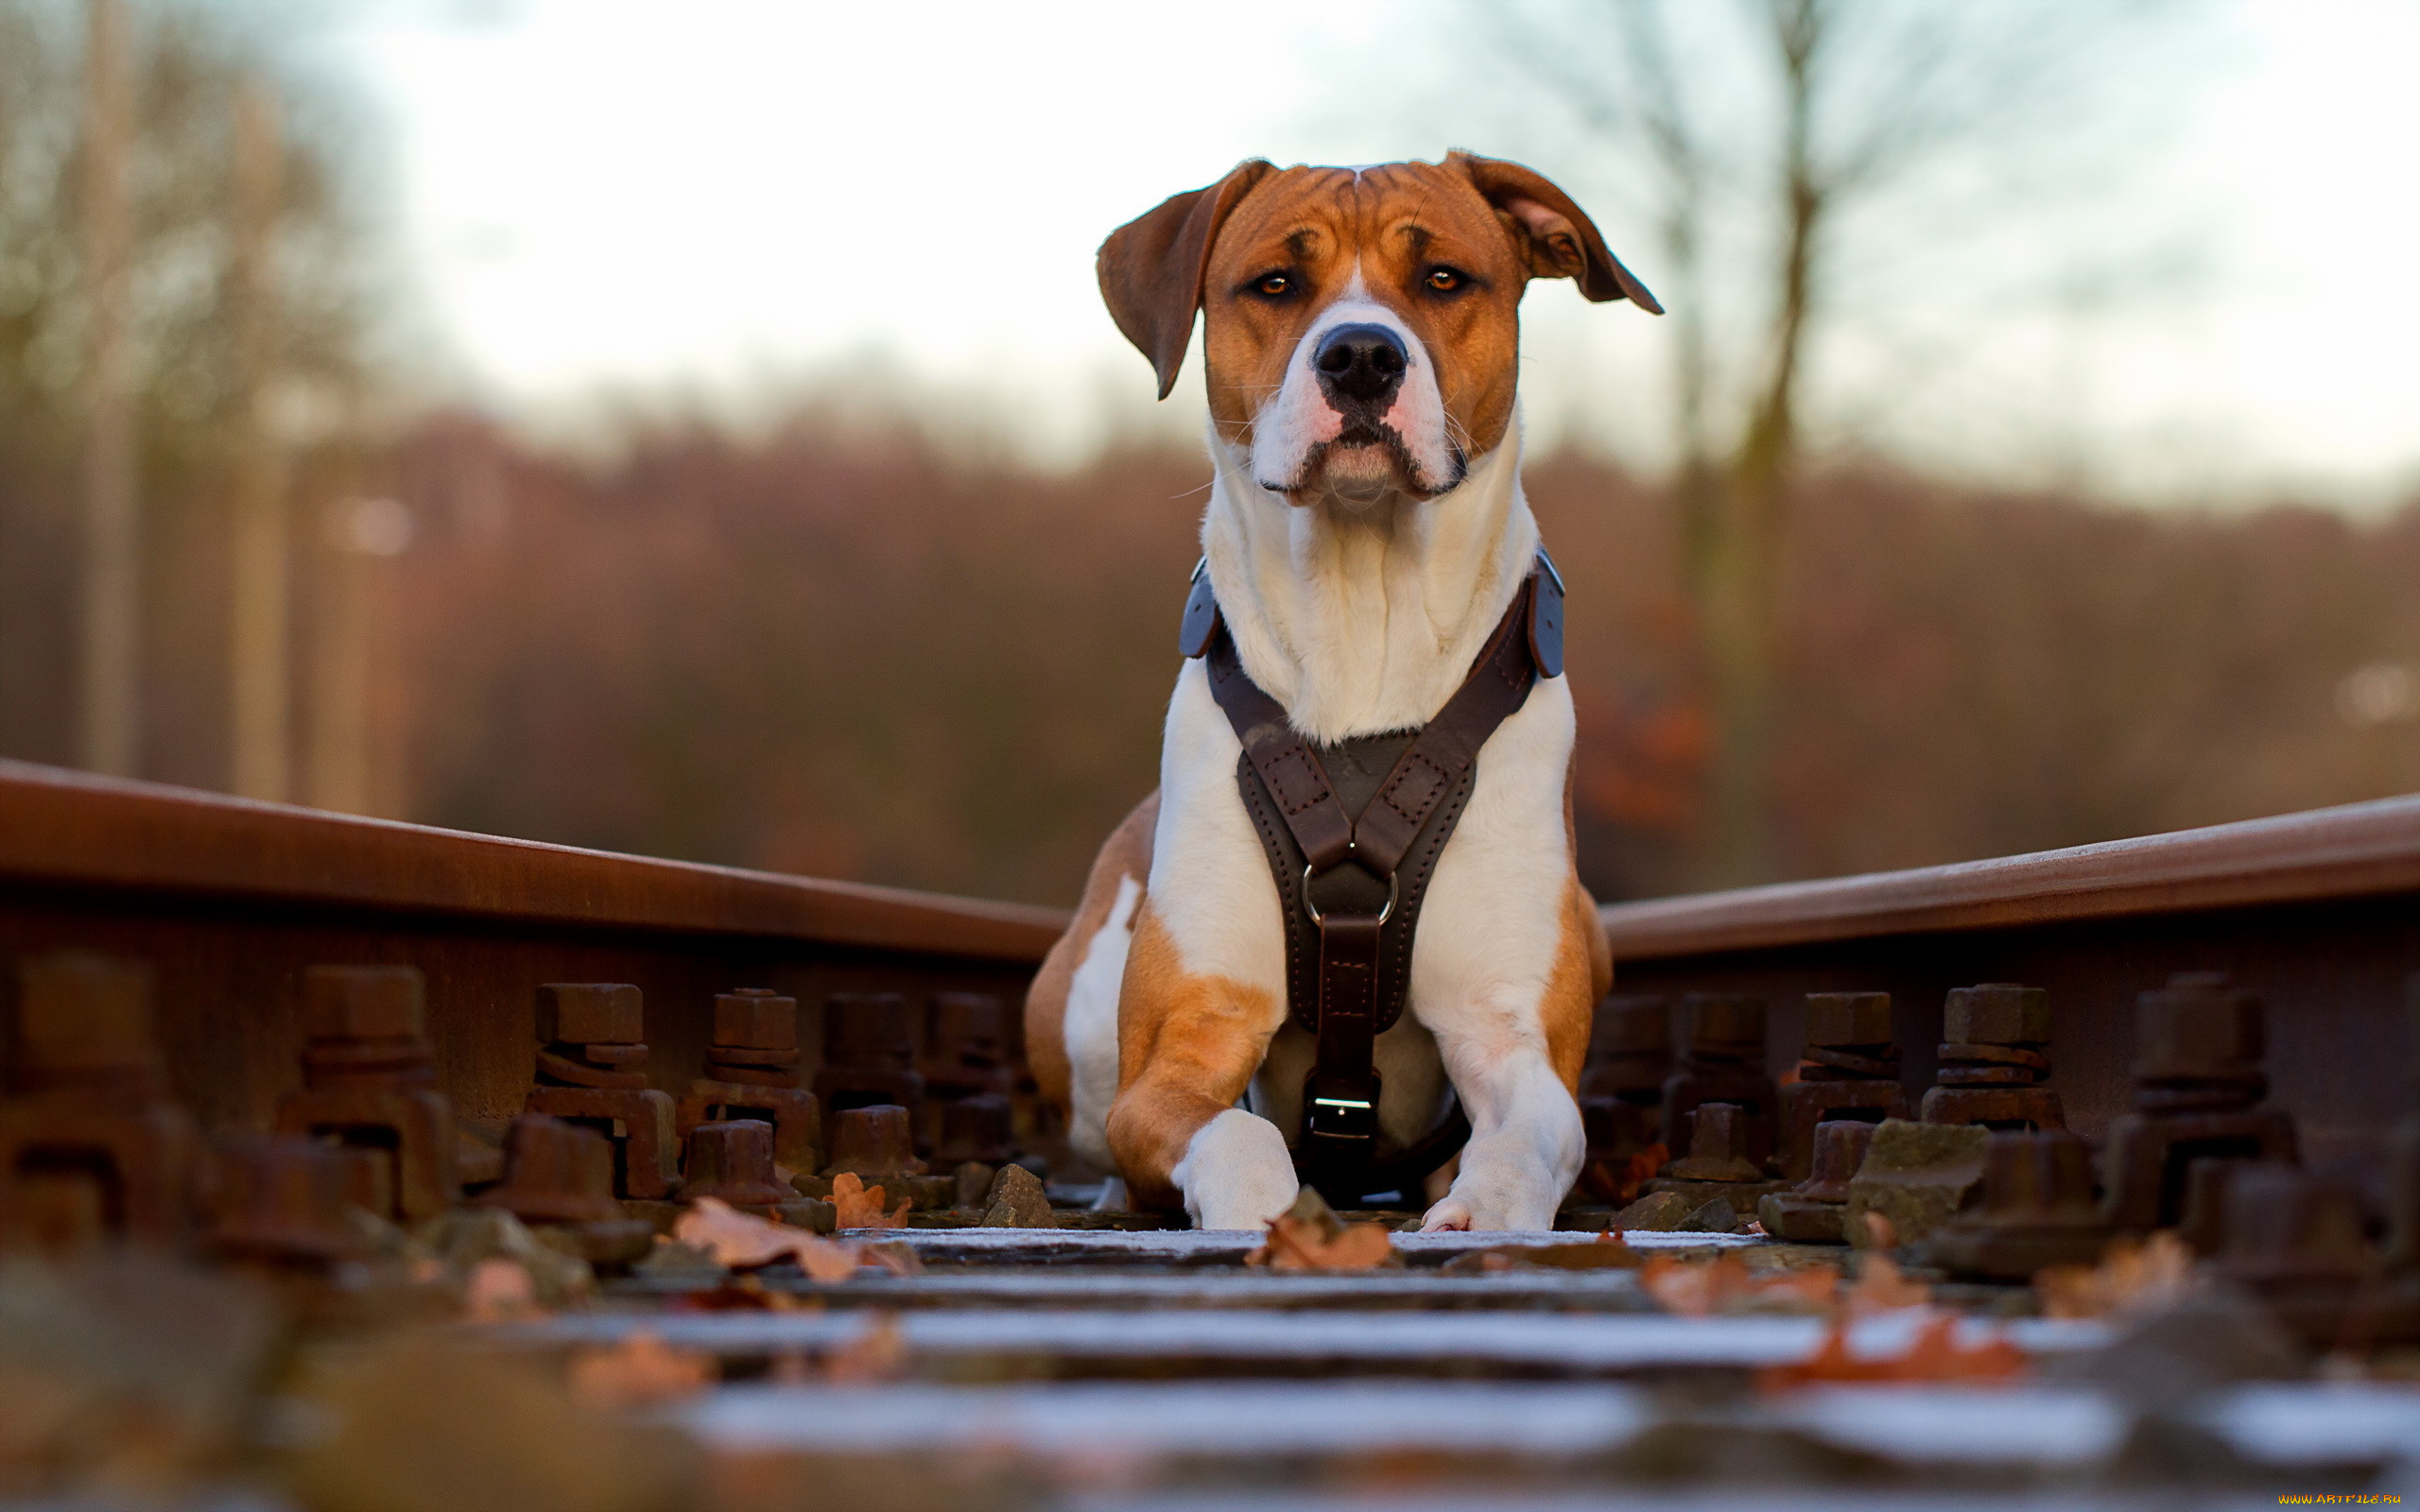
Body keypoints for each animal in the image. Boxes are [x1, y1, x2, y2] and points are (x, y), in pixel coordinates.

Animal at [1021, 153, 1665, 1233]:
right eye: (1276, 284)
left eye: (1443, 279)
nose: (1361, 355)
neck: (1365, 618)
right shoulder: (1186, 1040)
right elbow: (1234, 1133)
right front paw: (1270, 1215)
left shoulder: (1509, 1029)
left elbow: (1531, 1138)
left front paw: (1482, 1209)